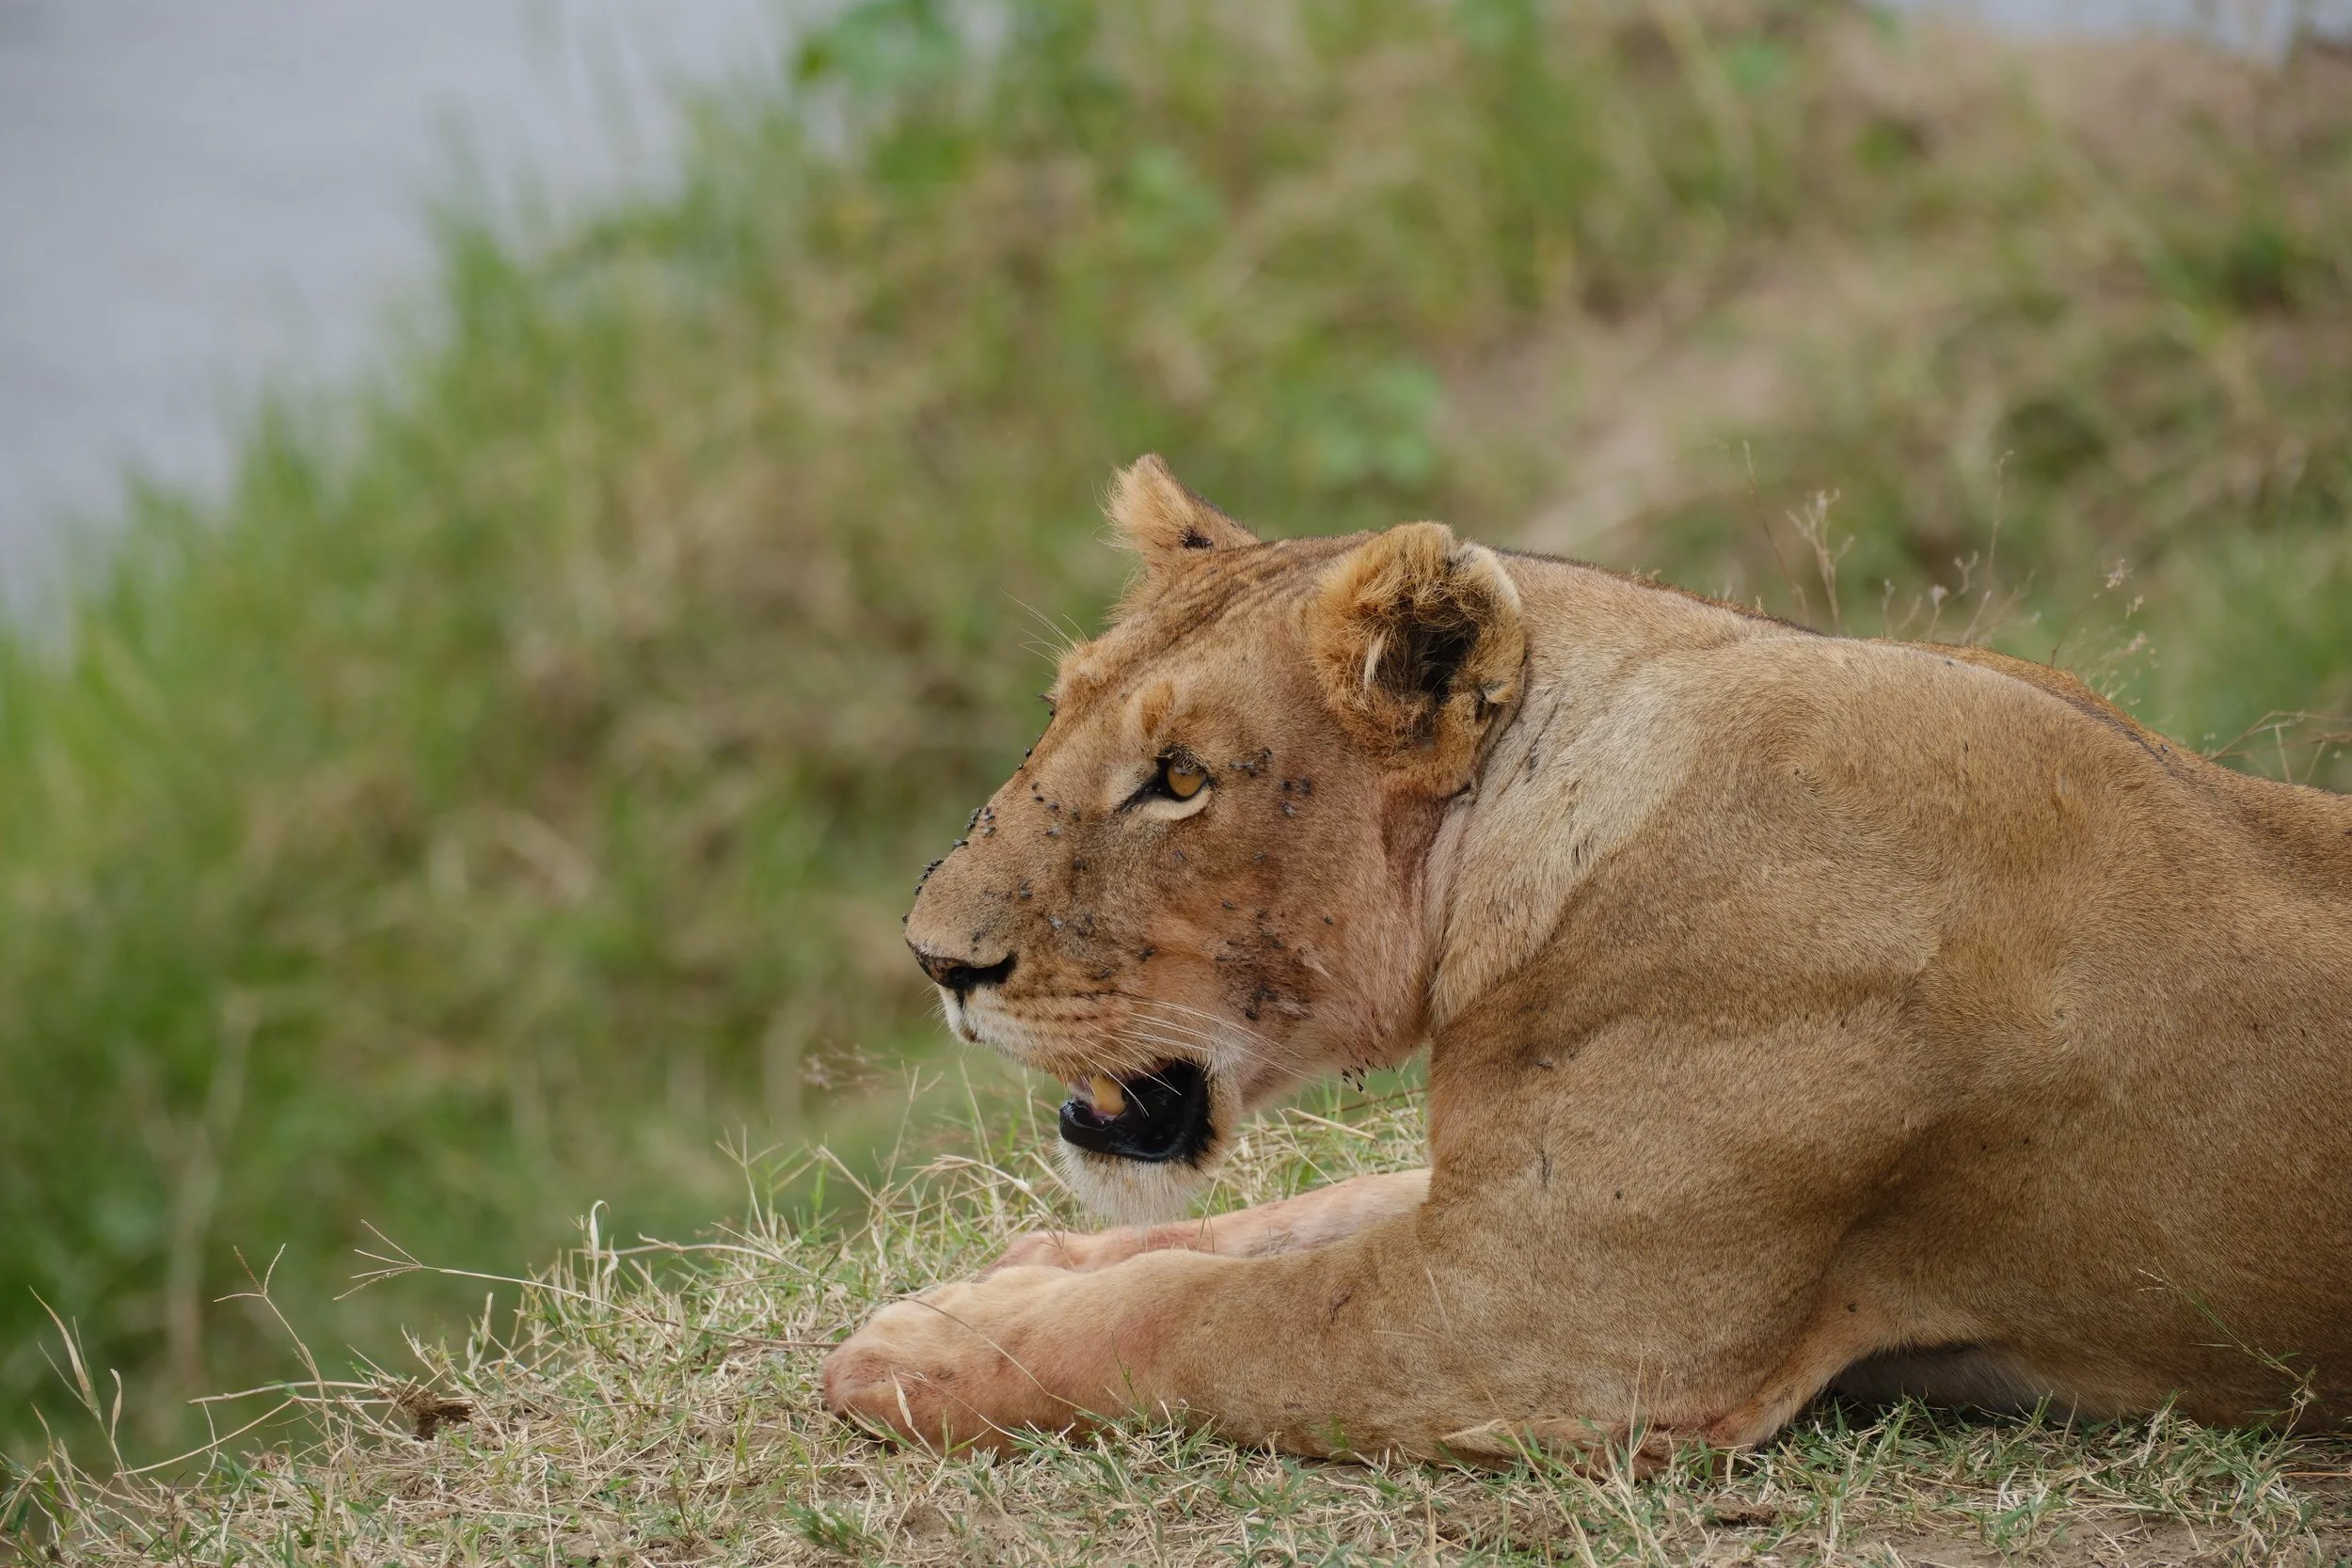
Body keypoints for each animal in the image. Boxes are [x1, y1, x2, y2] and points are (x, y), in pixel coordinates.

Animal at [821, 456, 2352, 1462]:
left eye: (1182, 778)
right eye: (1060, 709)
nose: (933, 957)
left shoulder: (1536, 1324)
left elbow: (1207, 1317)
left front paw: (916, 1351)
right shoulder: (1500, 1201)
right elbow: (1274, 1219)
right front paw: (1013, 1272)